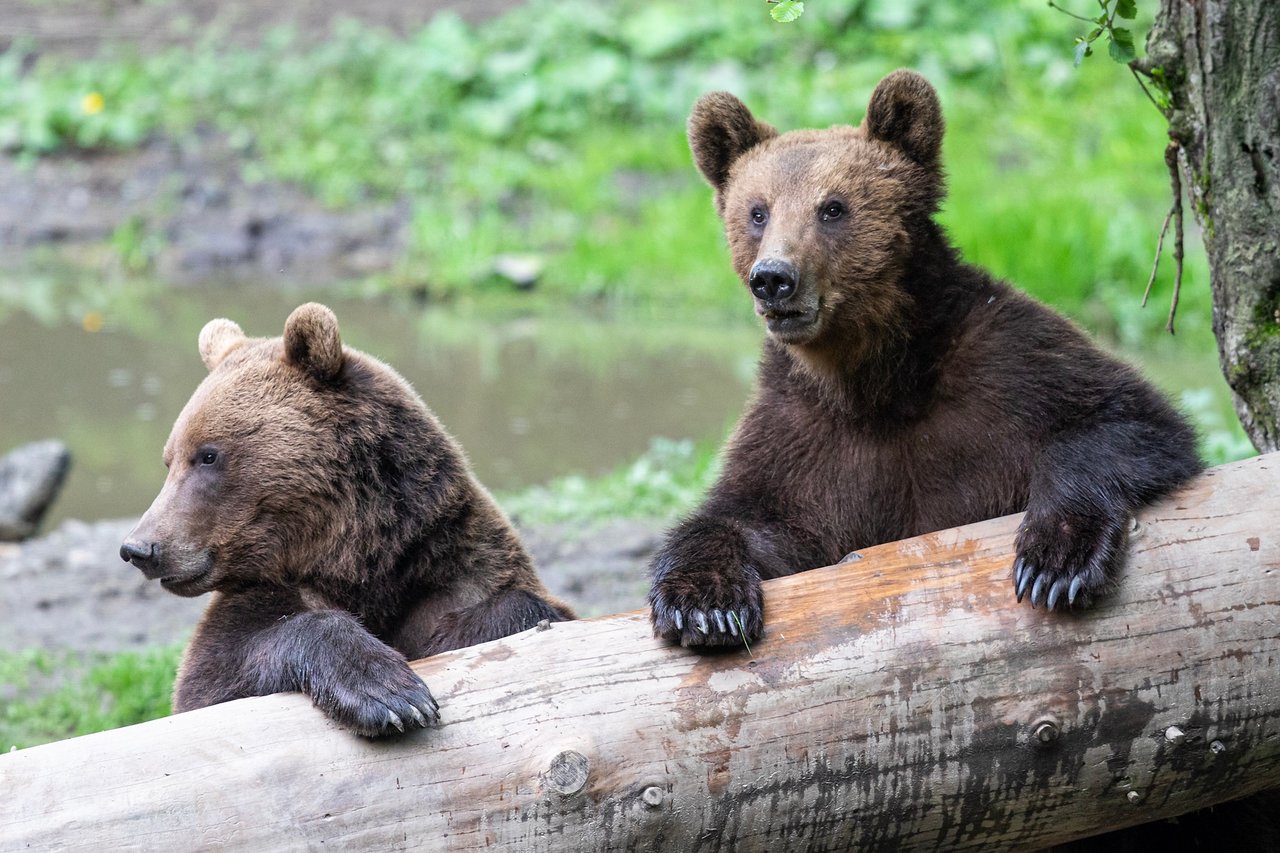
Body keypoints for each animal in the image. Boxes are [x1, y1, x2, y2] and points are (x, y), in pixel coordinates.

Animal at [120, 302, 576, 732]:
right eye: (170, 460)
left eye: (208, 455)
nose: (140, 548)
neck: (356, 556)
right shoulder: (263, 598)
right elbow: (211, 682)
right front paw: (391, 696)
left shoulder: (459, 568)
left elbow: (515, 613)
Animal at [645, 71, 1203, 645]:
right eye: (758, 211)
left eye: (833, 207)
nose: (774, 278)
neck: (879, 379)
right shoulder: (802, 434)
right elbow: (749, 518)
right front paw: (704, 604)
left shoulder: (1011, 367)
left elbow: (1126, 421)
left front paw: (1056, 562)